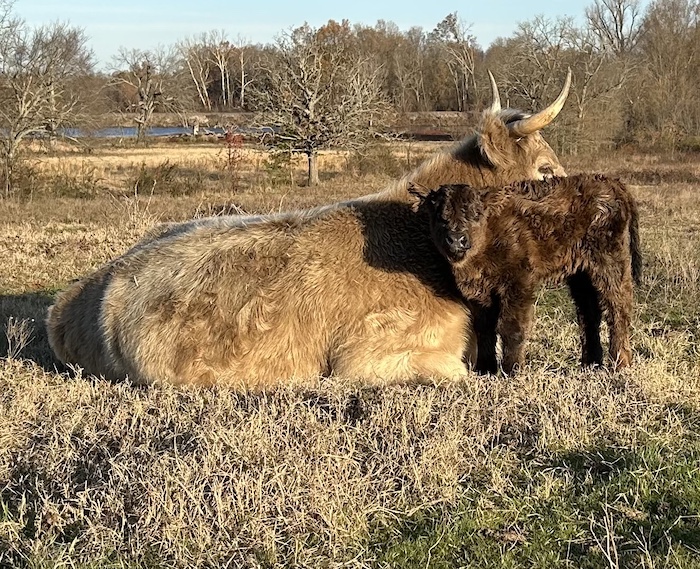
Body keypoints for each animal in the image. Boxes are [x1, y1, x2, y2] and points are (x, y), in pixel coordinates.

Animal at [414, 174, 642, 375]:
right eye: (440, 217)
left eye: (476, 214)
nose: (456, 239)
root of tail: (612, 182)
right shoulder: (480, 293)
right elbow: (484, 329)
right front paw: (485, 369)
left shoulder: (518, 282)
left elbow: (511, 326)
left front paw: (512, 370)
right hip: (581, 274)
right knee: (589, 313)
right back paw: (590, 364)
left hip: (610, 263)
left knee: (618, 308)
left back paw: (620, 364)